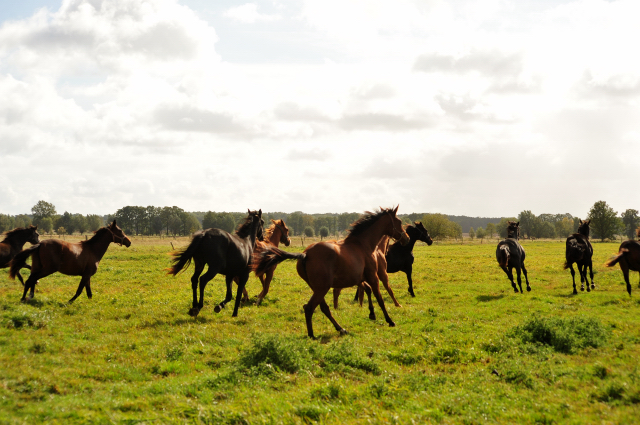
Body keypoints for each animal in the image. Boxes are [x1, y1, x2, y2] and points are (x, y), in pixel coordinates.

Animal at [251, 205, 408, 338]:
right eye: (399, 221)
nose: (406, 238)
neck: (362, 245)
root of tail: (305, 254)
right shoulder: (373, 277)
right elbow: (380, 299)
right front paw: (390, 321)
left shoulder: (361, 279)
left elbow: (368, 292)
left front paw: (372, 314)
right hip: (322, 288)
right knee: (309, 307)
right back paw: (312, 335)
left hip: (317, 288)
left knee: (324, 308)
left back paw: (341, 329)